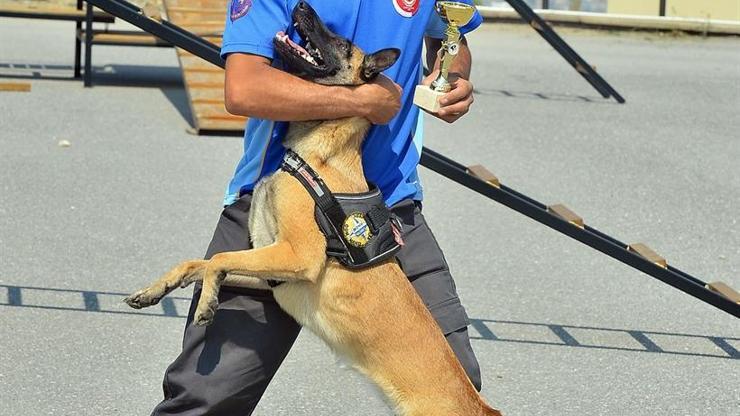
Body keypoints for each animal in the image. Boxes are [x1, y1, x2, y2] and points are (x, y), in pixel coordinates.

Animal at [124, 1, 500, 414]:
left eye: (342, 42)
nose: (303, 6)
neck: (316, 153)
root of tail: (481, 406)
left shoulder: (296, 255)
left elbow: (218, 259)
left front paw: (207, 301)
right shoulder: (271, 270)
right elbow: (200, 262)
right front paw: (155, 289)